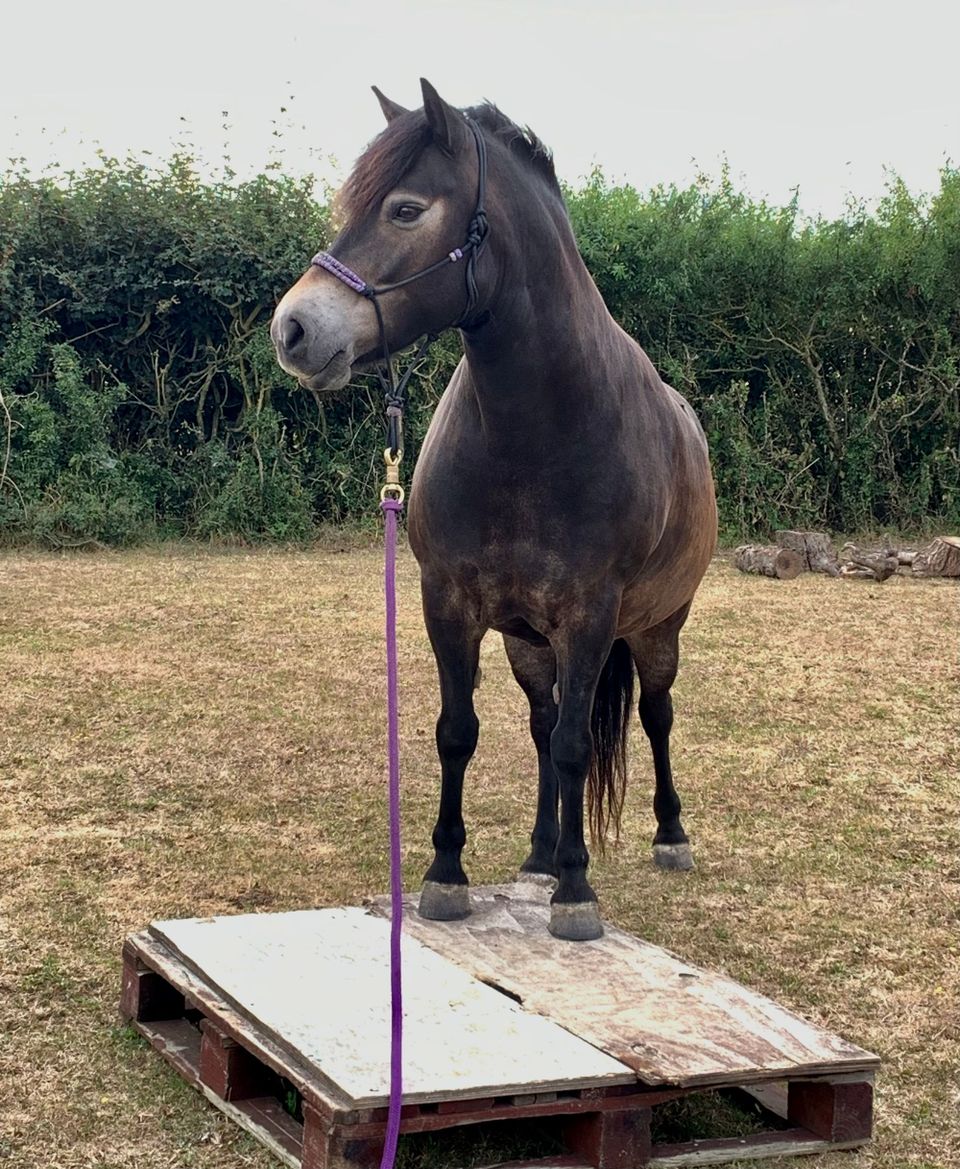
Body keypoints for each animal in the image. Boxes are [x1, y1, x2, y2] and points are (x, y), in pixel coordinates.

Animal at [271, 79, 717, 941]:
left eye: (406, 209)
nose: (294, 328)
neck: (534, 431)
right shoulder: (449, 602)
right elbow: (461, 732)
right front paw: (448, 874)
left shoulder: (590, 614)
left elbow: (579, 746)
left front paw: (576, 892)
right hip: (527, 641)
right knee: (544, 724)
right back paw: (541, 852)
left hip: (657, 628)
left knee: (655, 714)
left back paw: (667, 834)